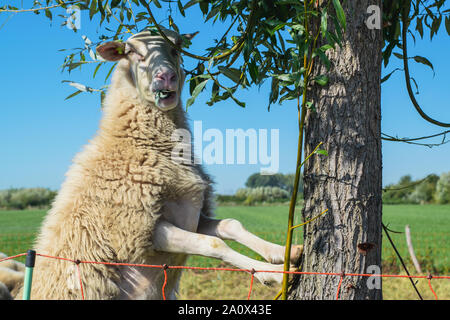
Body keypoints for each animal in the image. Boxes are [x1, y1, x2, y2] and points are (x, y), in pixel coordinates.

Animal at [3, 28, 300, 300]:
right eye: (131, 51)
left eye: (177, 47)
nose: (165, 76)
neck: (138, 144)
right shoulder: (139, 228)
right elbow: (212, 244)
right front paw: (273, 274)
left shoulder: (193, 215)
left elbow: (230, 224)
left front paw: (283, 253)